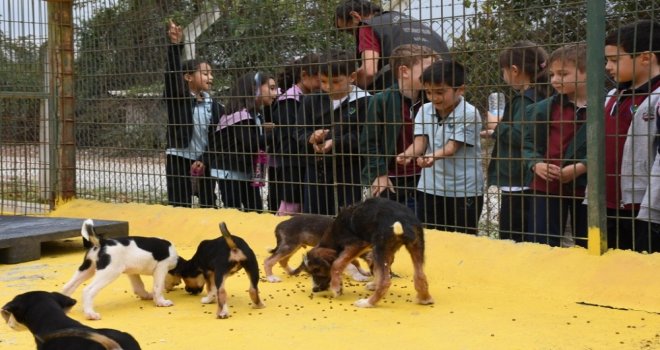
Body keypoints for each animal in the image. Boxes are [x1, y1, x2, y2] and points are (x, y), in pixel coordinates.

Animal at [302, 198, 434, 308]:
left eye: (317, 270)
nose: (315, 290)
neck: (334, 234)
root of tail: (404, 222)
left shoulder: (356, 245)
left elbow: (337, 264)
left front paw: (336, 288)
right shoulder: (384, 252)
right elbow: (375, 270)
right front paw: (373, 284)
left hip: (380, 248)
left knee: (385, 282)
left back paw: (367, 303)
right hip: (416, 245)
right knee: (420, 276)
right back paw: (425, 299)